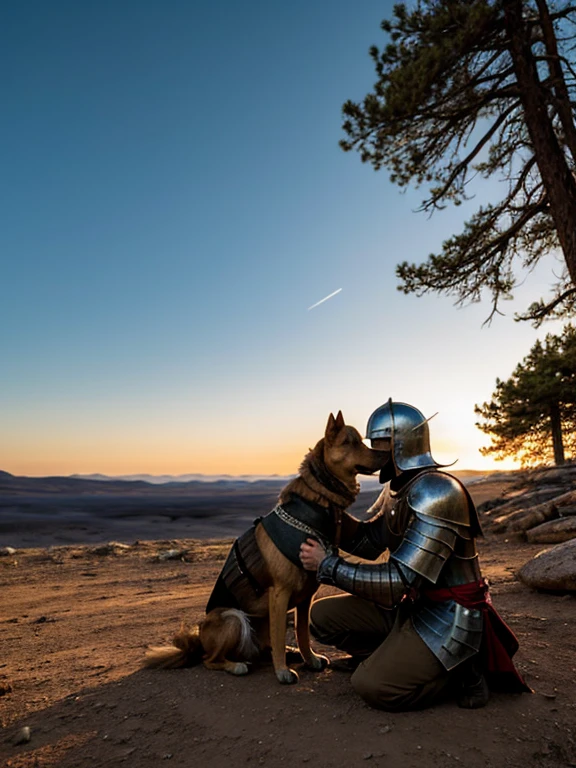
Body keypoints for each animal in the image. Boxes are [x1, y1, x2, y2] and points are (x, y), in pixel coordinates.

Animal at [144, 412, 388, 688]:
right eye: (350, 442)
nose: (385, 454)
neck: (313, 506)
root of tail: (200, 639)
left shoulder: (306, 598)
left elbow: (302, 634)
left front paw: (309, 659)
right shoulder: (280, 594)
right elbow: (282, 636)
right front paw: (282, 672)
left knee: (263, 648)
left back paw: (286, 655)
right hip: (233, 618)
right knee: (210, 659)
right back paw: (236, 665)